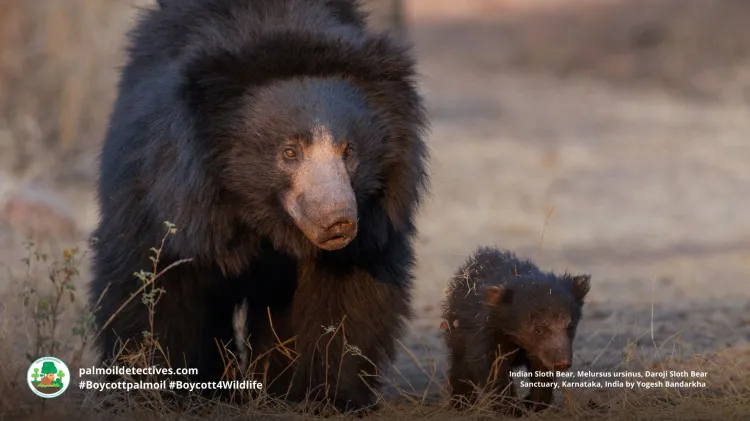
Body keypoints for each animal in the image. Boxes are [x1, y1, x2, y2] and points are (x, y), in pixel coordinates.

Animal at [89, 0, 428, 410]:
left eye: (349, 151)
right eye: (289, 152)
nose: (338, 223)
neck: (263, 216)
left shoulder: (374, 223)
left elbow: (348, 297)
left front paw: (327, 396)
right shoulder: (166, 197)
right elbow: (154, 283)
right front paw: (159, 393)